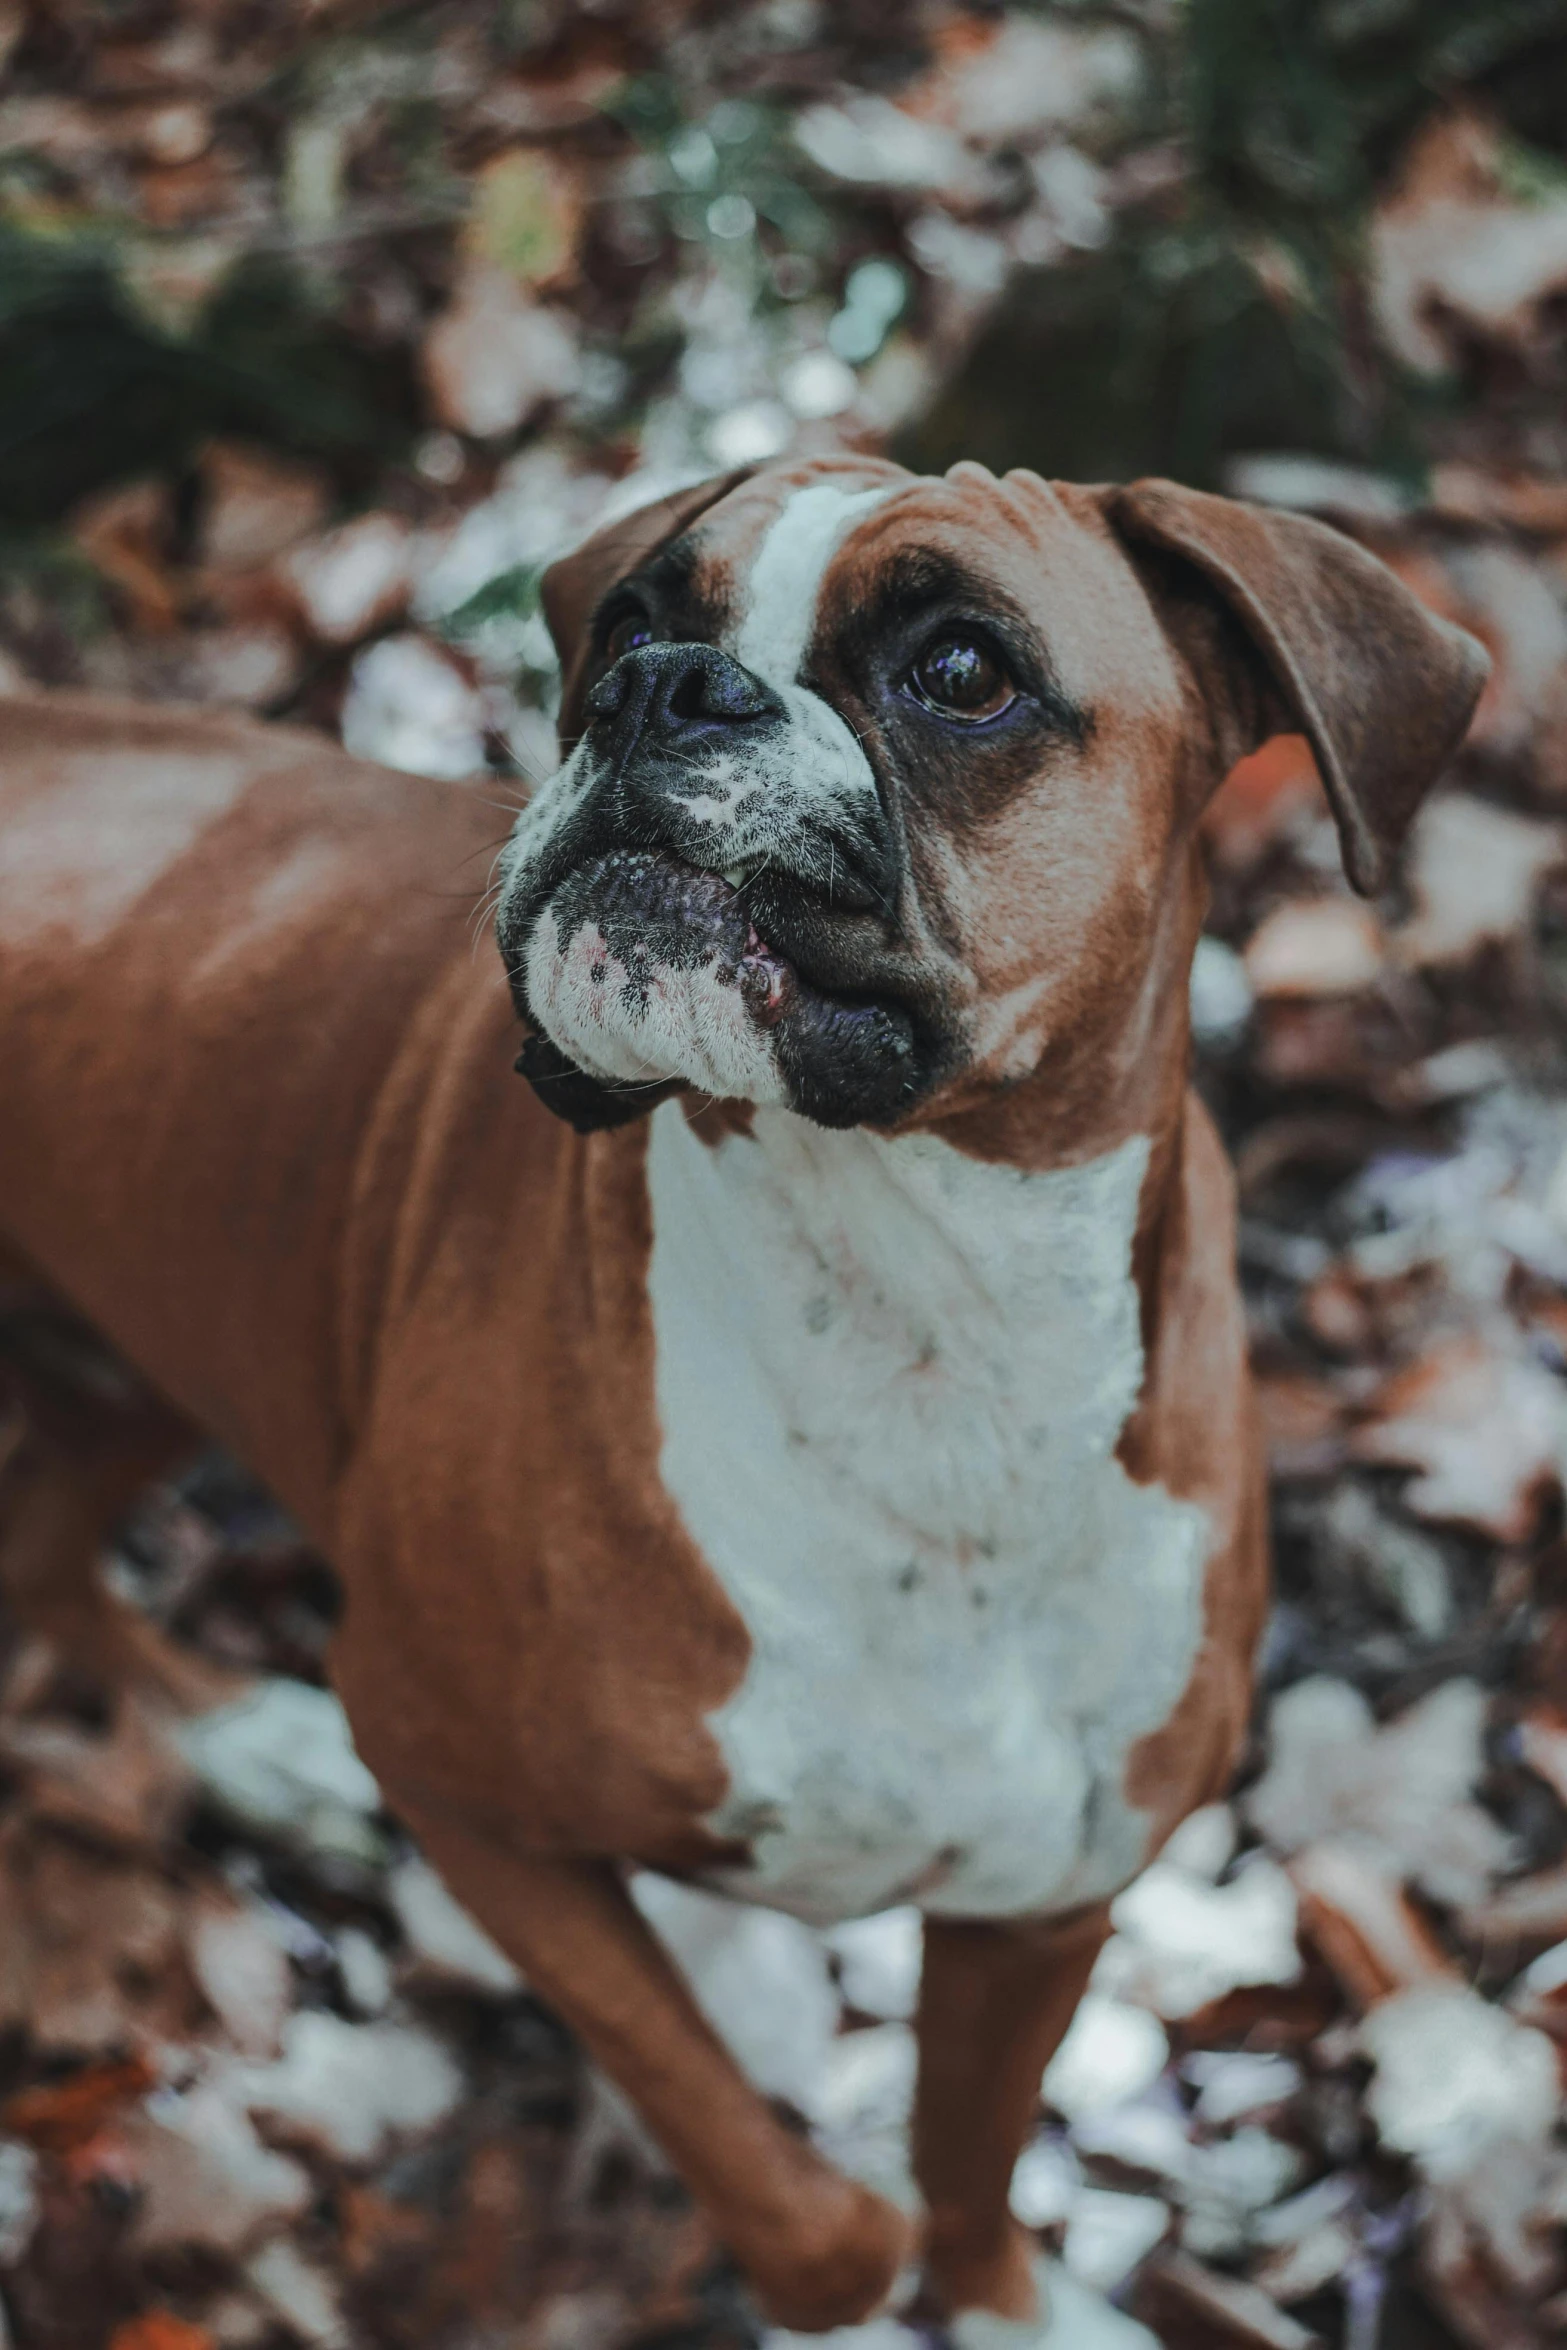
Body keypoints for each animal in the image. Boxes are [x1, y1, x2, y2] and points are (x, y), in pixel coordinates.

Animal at [0, 453, 1494, 2331]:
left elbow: (965, 2163)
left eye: (960, 670)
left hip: (133, 1340)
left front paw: (1000, 2307)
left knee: (46, 1543)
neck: (919, 1331)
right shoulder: (462, 1788)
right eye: (631, 620)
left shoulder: (1042, 1907)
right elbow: (794, 2191)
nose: (657, 693)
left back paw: (240, 1740)